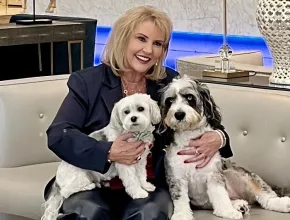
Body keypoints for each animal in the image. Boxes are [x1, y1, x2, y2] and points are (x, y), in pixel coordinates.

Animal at [159, 75, 290, 219]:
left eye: (189, 97)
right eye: (170, 100)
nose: (179, 114)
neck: (189, 136)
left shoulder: (213, 174)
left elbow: (220, 194)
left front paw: (227, 211)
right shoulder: (177, 177)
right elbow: (180, 198)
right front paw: (182, 215)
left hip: (238, 173)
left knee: (265, 196)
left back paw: (281, 203)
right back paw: (240, 205)